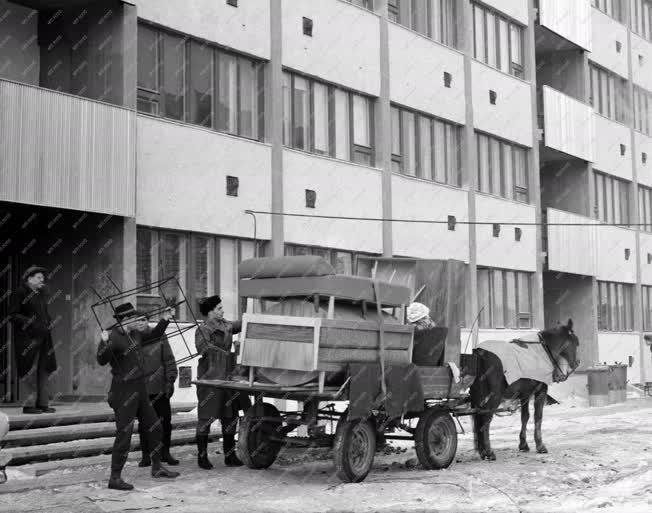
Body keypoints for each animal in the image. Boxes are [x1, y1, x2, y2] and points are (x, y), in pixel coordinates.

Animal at [468, 316, 580, 460]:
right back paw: (488, 451)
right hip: (494, 396)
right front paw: (540, 445)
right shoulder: (541, 391)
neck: (542, 350)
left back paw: (482, 451)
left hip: (478, 396)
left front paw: (523, 444)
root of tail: (480, 353)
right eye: (576, 343)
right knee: (485, 418)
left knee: (478, 418)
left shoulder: (525, 394)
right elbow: (538, 416)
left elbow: (525, 416)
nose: (576, 363)